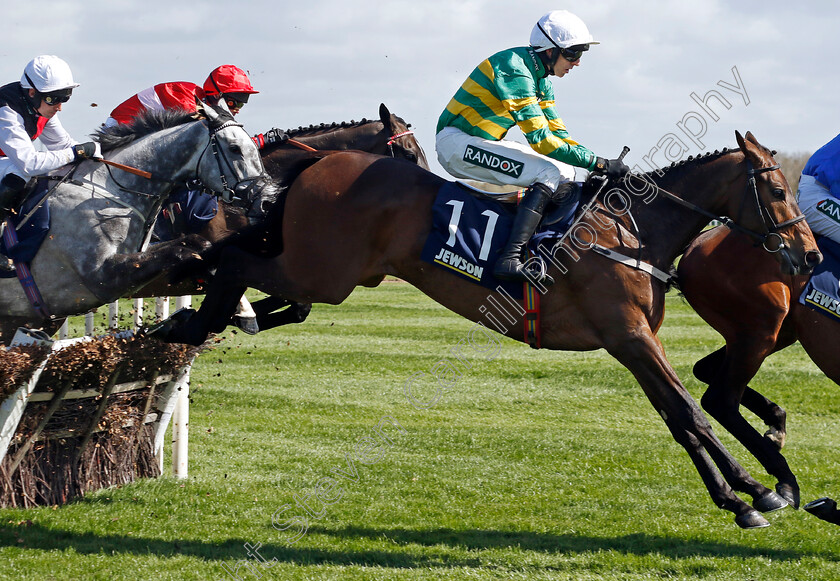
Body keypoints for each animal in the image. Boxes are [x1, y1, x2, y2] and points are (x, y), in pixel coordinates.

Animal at [0, 102, 276, 342]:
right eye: (234, 148)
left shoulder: (140, 259)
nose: (267, 200)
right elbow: (186, 248)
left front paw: (241, 310)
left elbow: (199, 248)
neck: (109, 191)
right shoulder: (101, 277)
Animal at [159, 131, 820, 524]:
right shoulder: (629, 336)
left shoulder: (633, 342)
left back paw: (191, 323)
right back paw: (188, 326)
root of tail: (324, 158)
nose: (809, 256)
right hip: (318, 271)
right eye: (777, 187)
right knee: (233, 262)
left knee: (248, 272)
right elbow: (692, 412)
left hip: (329, 273)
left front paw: (738, 495)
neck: (632, 229)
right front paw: (757, 492)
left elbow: (677, 417)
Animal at [680, 222, 836, 512]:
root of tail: (702, 238)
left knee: (704, 369)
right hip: (760, 328)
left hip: (776, 331)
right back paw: (783, 479)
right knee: (720, 400)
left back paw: (776, 426)